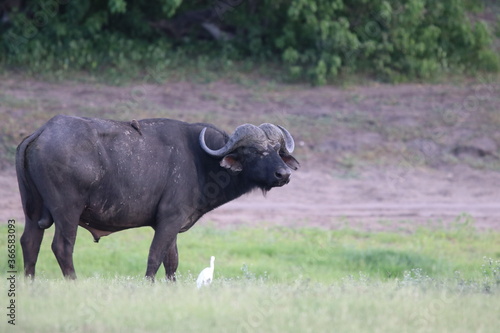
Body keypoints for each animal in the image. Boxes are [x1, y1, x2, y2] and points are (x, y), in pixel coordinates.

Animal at [15, 115, 298, 278]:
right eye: (255, 151)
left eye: (277, 149)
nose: (283, 174)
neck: (200, 159)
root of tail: (41, 133)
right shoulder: (168, 220)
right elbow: (154, 257)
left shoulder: (172, 224)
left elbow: (171, 261)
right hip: (67, 211)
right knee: (62, 247)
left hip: (33, 211)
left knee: (29, 243)